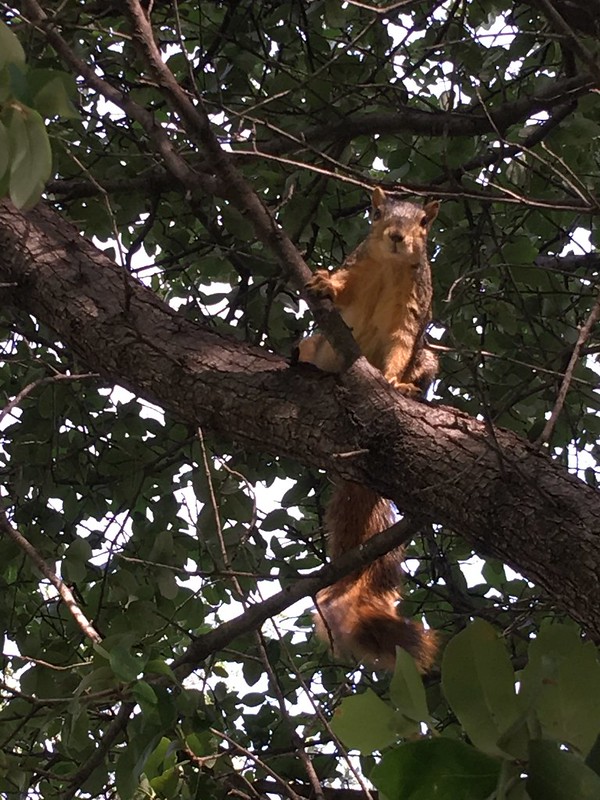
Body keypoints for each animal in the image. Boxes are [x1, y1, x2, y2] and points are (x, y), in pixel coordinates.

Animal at [298, 186, 438, 668]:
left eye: (424, 223)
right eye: (376, 213)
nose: (396, 236)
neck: (389, 266)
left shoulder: (413, 307)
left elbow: (400, 342)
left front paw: (395, 381)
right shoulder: (357, 266)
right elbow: (342, 287)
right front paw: (323, 282)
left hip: (428, 359)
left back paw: (412, 389)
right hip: (316, 346)